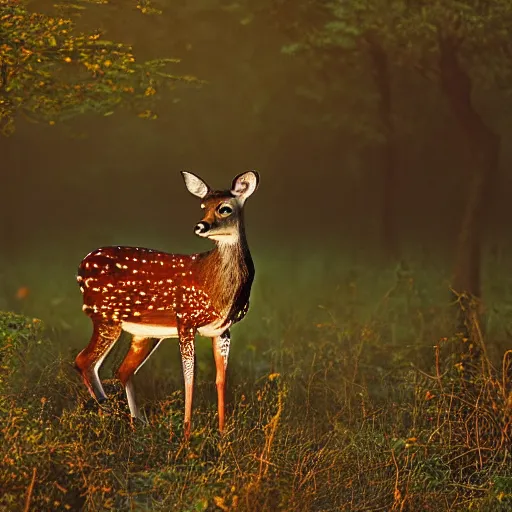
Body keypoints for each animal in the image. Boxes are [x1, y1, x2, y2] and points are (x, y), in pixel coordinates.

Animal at [75, 170, 260, 438]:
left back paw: (138, 423)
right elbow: (189, 377)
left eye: (224, 208)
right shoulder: (186, 319)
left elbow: (220, 378)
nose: (200, 225)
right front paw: (186, 433)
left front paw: (223, 433)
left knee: (122, 370)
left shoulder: (223, 330)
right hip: (105, 315)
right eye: (203, 206)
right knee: (84, 362)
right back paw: (113, 416)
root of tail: (81, 267)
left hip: (145, 332)